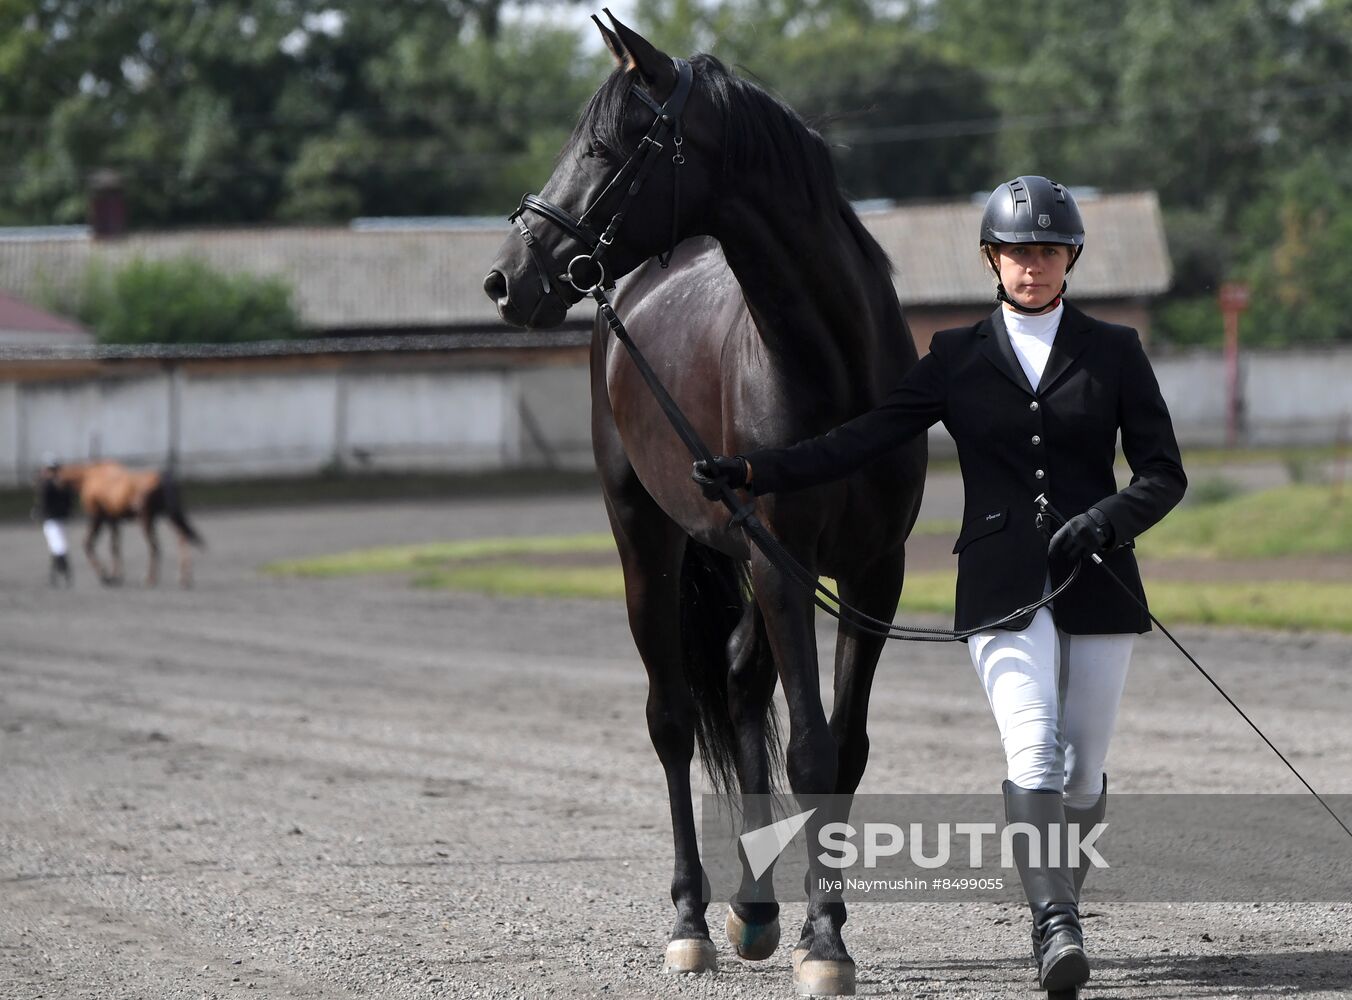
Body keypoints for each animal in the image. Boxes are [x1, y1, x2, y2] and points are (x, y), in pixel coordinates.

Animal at [54, 462, 202, 586]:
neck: (88, 476)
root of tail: (162, 477)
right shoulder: (113, 519)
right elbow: (115, 547)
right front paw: (116, 575)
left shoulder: (98, 517)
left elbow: (88, 544)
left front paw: (105, 574)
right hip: (167, 514)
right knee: (182, 537)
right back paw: (184, 578)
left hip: (145, 518)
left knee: (155, 546)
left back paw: (151, 578)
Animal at [486, 13, 930, 994]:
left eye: (606, 146)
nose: (505, 279)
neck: (831, 367)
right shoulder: (781, 565)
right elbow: (806, 746)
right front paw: (824, 943)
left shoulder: (870, 575)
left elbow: (842, 748)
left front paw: (821, 932)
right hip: (648, 543)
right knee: (675, 719)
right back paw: (693, 917)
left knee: (733, 682)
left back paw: (754, 910)